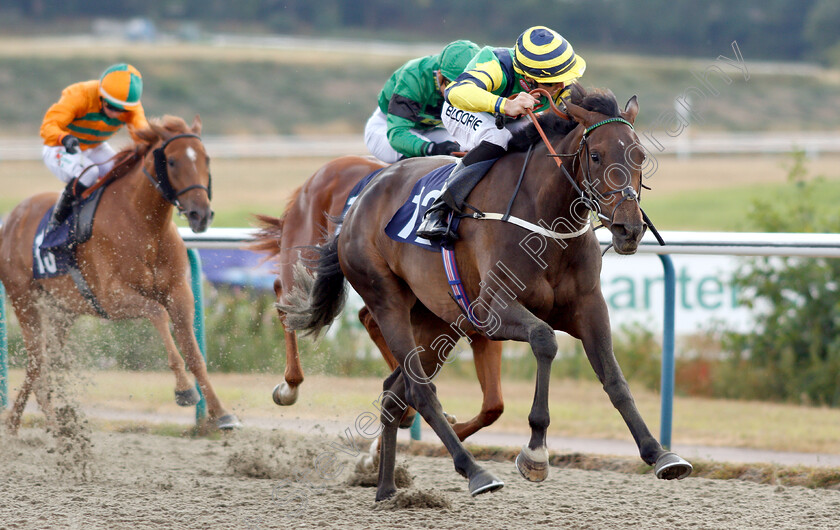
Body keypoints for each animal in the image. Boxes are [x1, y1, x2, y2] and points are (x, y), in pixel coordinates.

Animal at [2, 113, 240, 432]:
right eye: (172, 161)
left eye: (206, 158)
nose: (201, 215)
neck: (145, 226)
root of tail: (11, 219)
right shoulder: (112, 298)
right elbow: (157, 313)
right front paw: (183, 390)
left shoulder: (179, 293)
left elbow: (194, 352)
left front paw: (220, 412)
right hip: (24, 300)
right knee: (38, 360)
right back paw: (48, 425)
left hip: (62, 311)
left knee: (42, 362)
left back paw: (27, 423)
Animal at [251, 155, 506, 440]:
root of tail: (313, 180)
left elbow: (493, 405)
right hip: (308, 259)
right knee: (288, 300)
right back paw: (290, 386)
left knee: (367, 320)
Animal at [282, 84, 688, 498]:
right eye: (595, 155)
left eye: (640, 155)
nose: (628, 229)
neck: (545, 220)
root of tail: (357, 203)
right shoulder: (492, 311)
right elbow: (545, 340)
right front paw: (535, 452)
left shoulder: (590, 307)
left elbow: (614, 378)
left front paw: (660, 454)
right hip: (387, 298)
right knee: (420, 390)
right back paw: (474, 471)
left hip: (436, 320)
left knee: (395, 393)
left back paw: (387, 490)